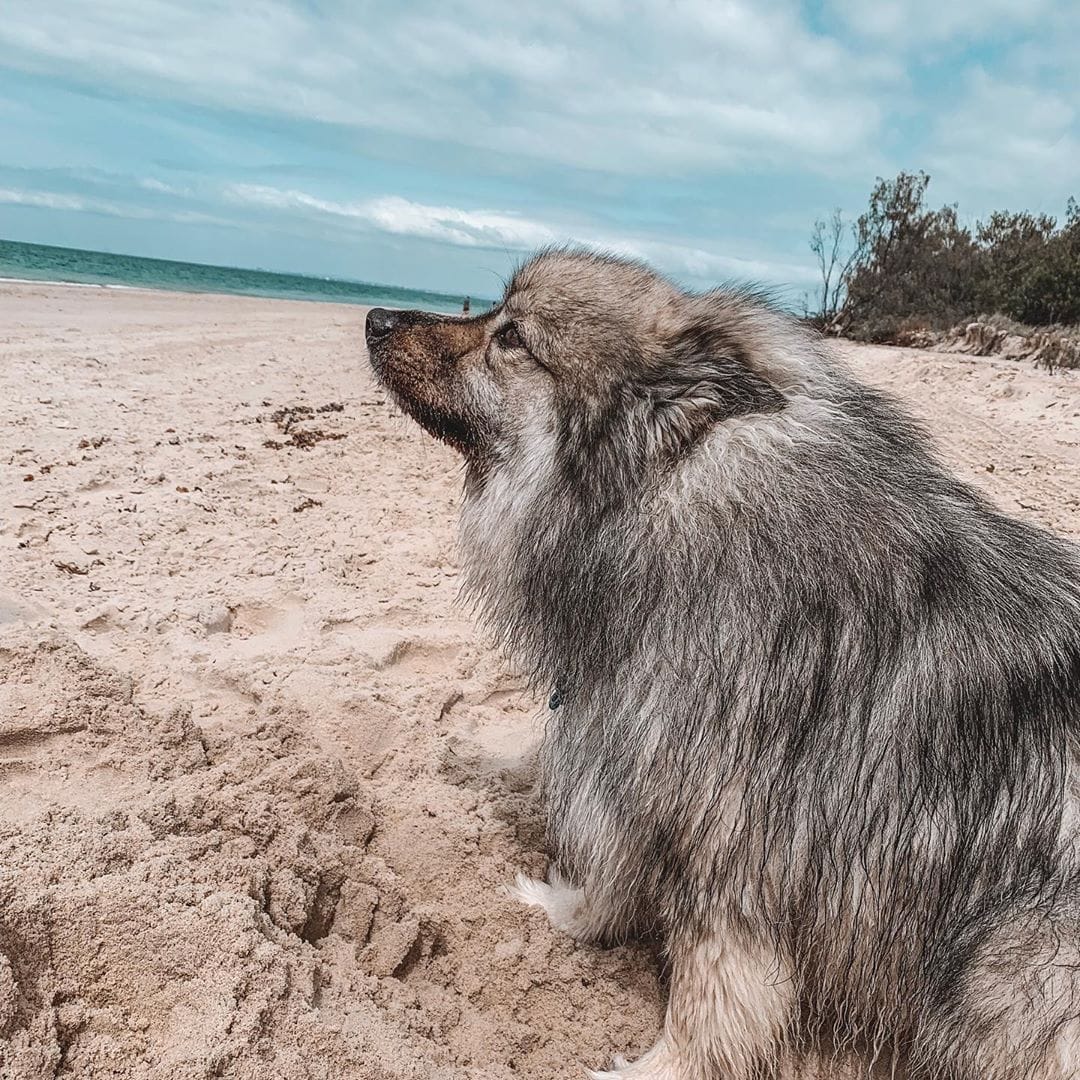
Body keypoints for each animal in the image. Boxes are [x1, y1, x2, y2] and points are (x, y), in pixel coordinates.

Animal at [365, 248, 1080, 1079]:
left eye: (511, 337)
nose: (375, 318)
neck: (654, 495)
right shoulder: (631, 764)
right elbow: (595, 864)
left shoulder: (733, 850)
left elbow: (710, 1001)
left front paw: (650, 1061)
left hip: (1017, 966)